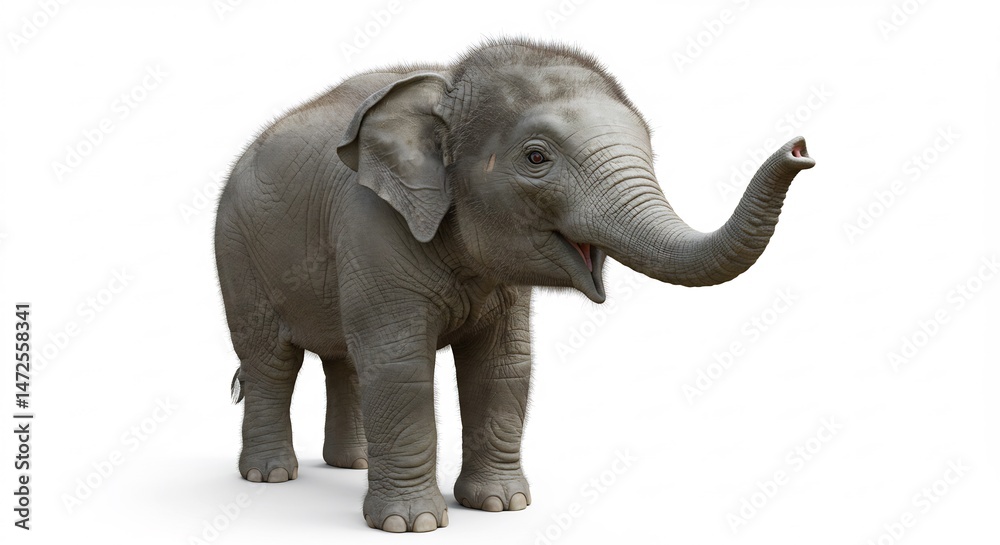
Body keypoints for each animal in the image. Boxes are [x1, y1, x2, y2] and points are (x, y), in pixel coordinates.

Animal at [214, 37, 815, 533]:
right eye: (536, 158)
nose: (801, 148)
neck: (446, 85)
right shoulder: (372, 226)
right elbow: (400, 364)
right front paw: (413, 525)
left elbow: (504, 365)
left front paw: (502, 508)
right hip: (238, 255)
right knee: (272, 361)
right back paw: (270, 477)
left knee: (344, 362)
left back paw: (350, 464)